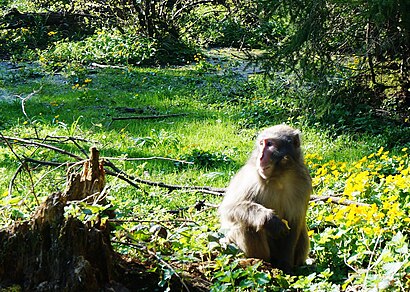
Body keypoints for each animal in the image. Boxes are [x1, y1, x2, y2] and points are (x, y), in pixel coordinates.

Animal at [219, 124, 312, 272]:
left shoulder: (303, 184)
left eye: (270, 144)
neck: (278, 178)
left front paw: (286, 266)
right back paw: (259, 262)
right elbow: (228, 209)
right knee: (245, 224)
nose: (261, 157)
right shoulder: (250, 177)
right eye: (261, 143)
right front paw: (269, 219)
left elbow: (294, 222)